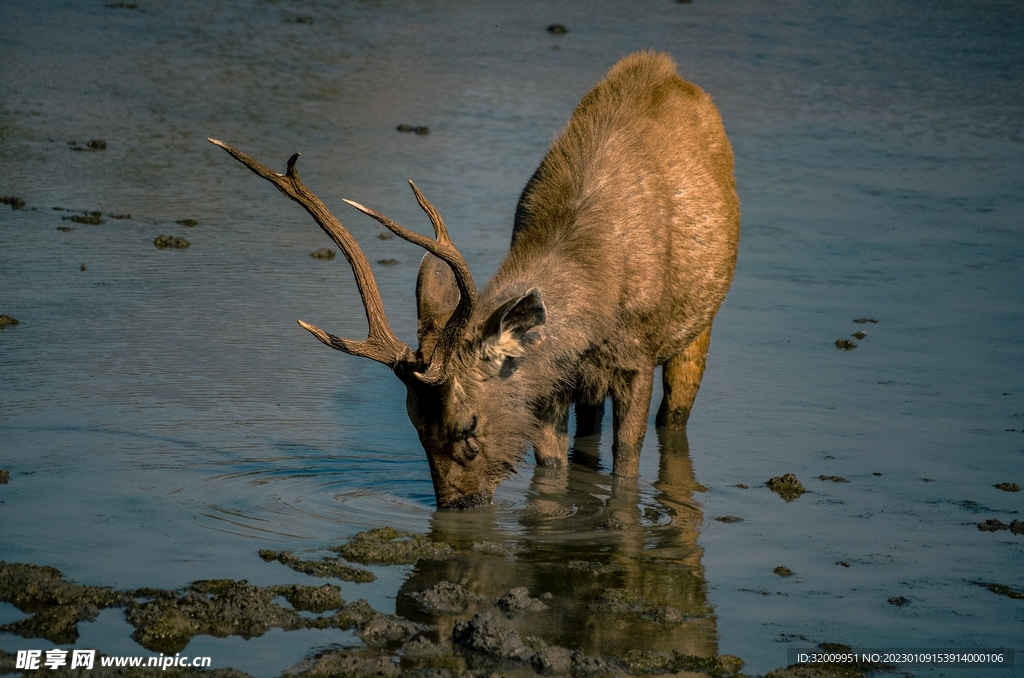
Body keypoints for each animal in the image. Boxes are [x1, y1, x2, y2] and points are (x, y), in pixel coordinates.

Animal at [209, 51, 739, 509]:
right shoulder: (551, 378)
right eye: (414, 424)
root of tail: (666, 68)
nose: (455, 507)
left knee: (674, 417)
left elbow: (626, 466)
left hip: (699, 326)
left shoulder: (635, 358)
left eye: (467, 427)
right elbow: (553, 466)